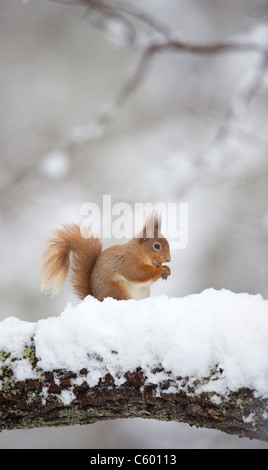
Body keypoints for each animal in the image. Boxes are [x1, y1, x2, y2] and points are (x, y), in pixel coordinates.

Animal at [41, 214, 172, 302]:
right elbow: (138, 273)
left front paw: (167, 270)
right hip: (116, 290)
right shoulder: (128, 261)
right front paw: (160, 270)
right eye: (156, 246)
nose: (168, 260)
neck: (140, 252)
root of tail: (96, 299)